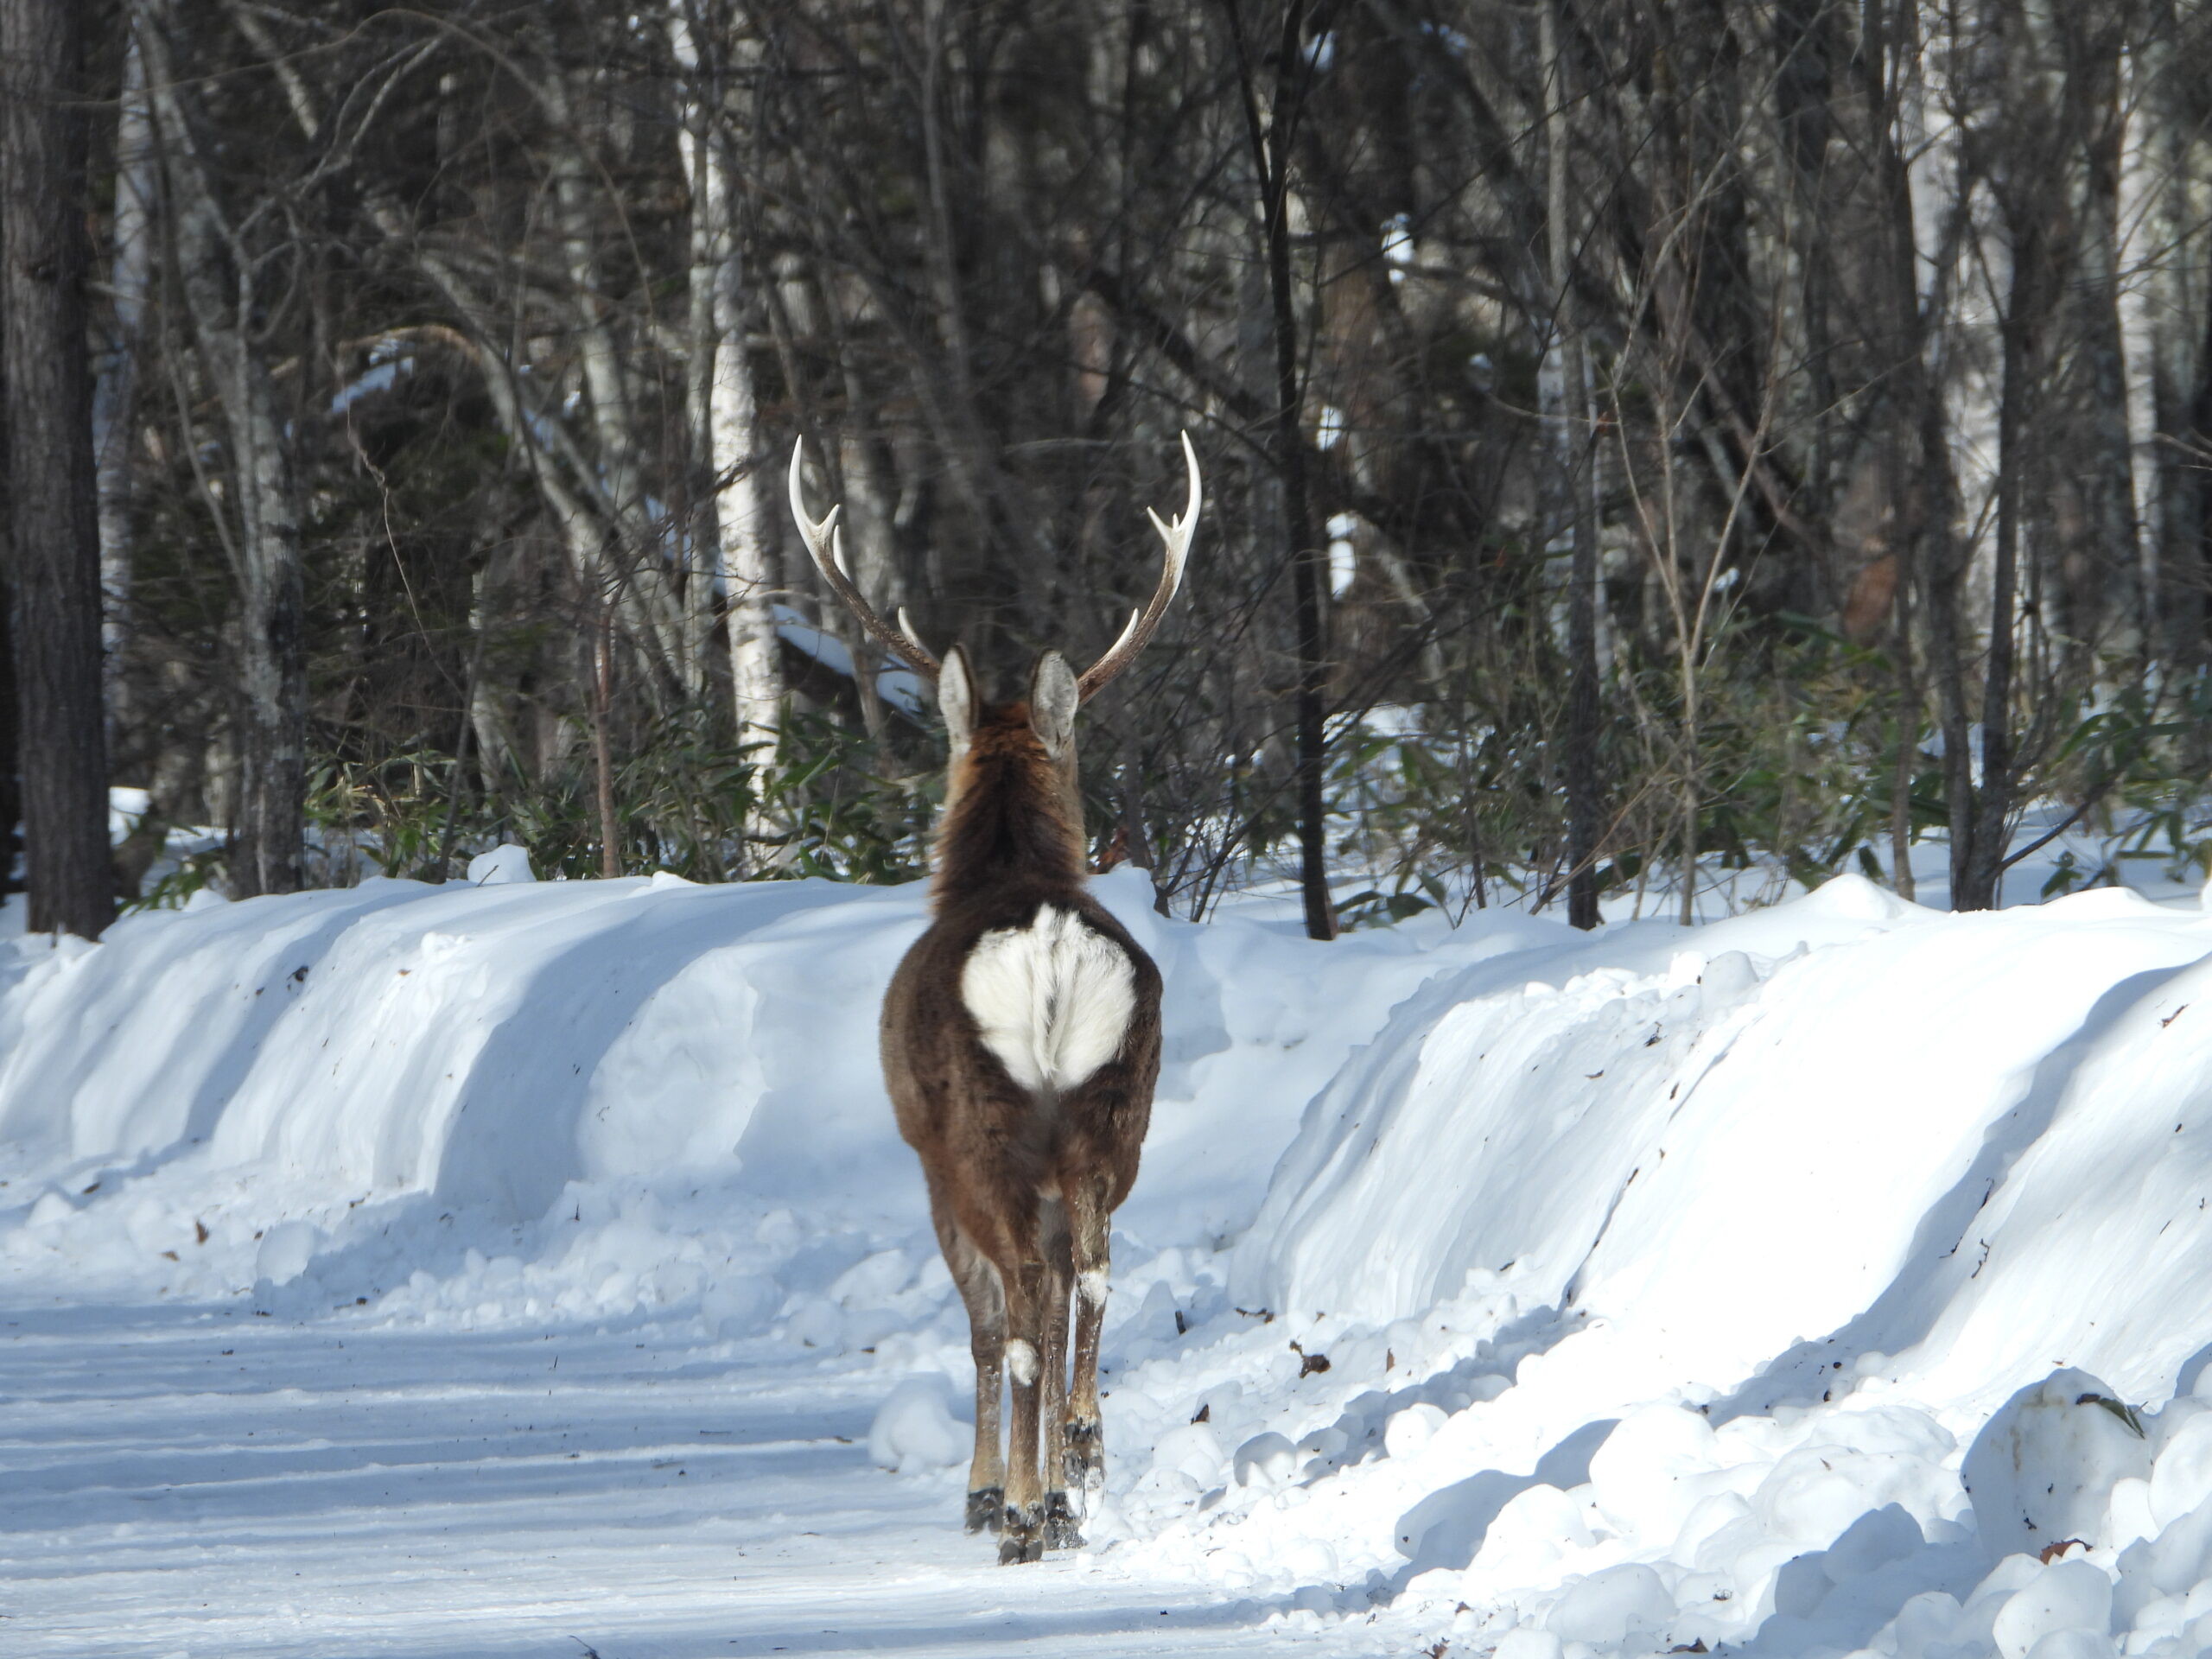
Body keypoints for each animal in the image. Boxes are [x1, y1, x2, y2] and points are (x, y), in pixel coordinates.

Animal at [788, 435, 1200, 1564]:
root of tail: (1051, 950)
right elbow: (1055, 1305)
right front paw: (1055, 1487)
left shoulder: (927, 1160)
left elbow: (985, 1327)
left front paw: (990, 1494)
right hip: (1114, 1109)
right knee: (1086, 1278)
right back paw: (1081, 1463)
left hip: (982, 1126)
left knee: (1014, 1307)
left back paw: (1019, 1510)